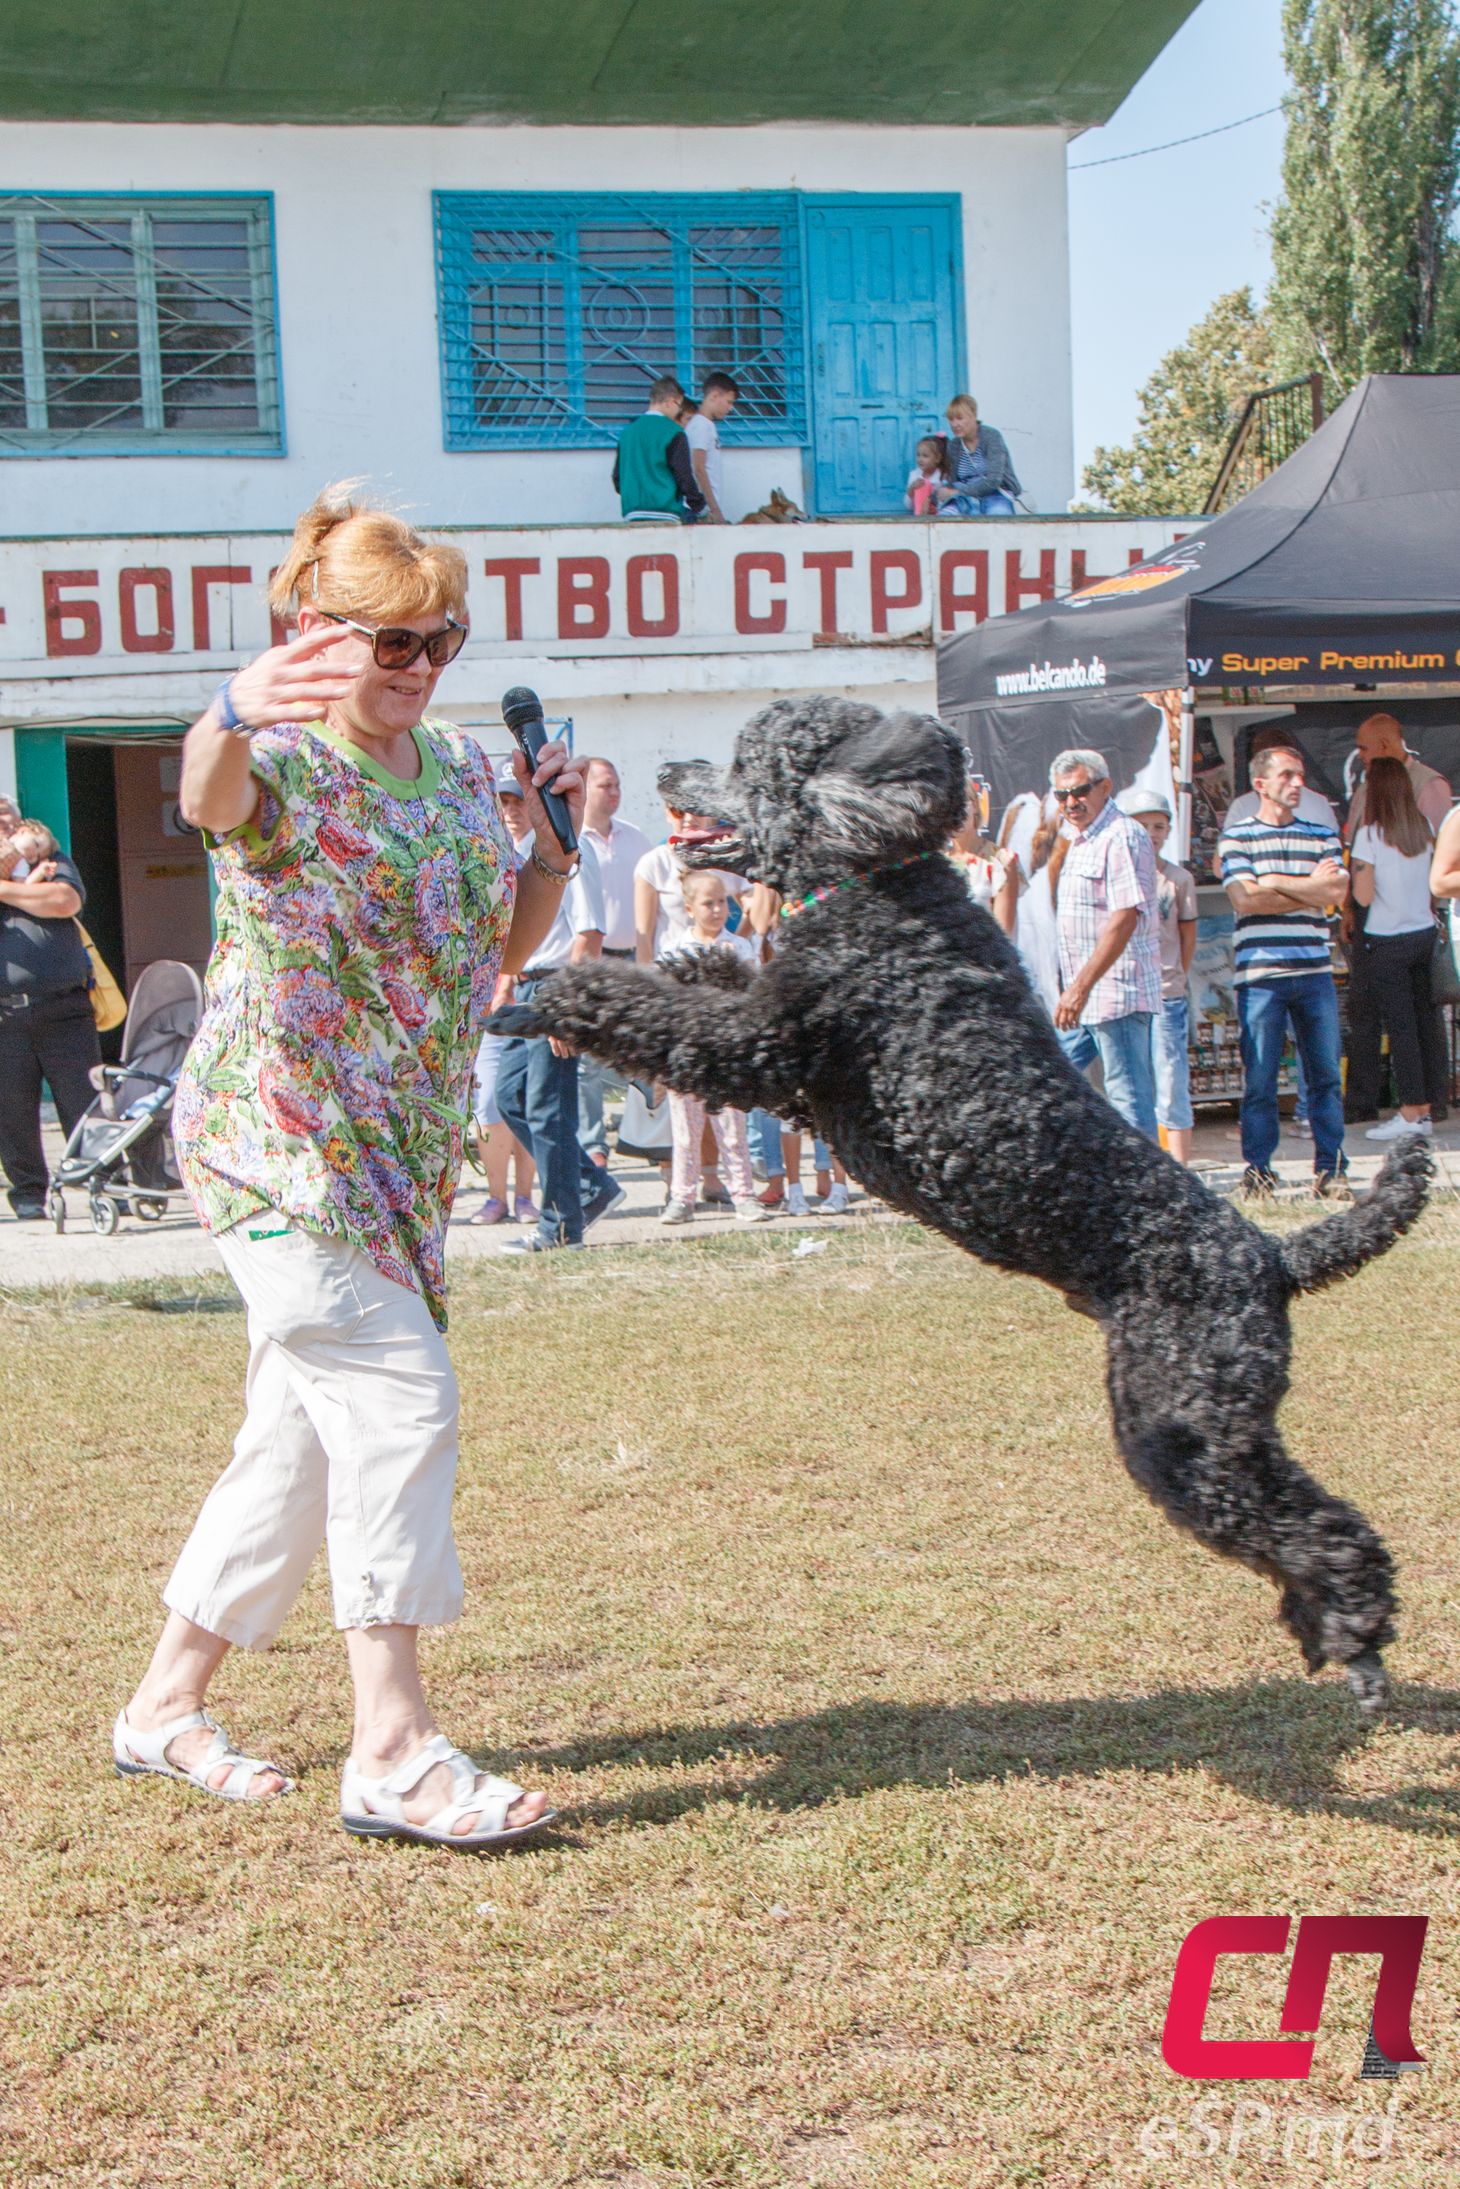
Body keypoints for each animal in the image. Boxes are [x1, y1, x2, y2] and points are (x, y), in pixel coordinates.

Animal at [496, 700, 1435, 1707]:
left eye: (751, 759)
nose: (669, 772)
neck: (879, 886)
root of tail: (1271, 1255)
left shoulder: (766, 1051)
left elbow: (645, 1010)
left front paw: (549, 992)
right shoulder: (793, 1076)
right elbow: (709, 982)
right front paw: (693, 951)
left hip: (1188, 1425)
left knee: (1322, 1530)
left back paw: (1356, 1637)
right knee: (1294, 1526)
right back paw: (1327, 1632)